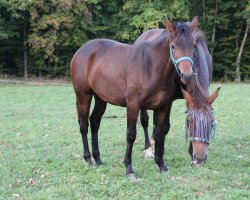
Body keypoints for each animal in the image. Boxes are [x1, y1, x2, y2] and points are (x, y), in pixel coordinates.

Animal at [70, 17, 199, 177]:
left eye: (193, 46)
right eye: (173, 46)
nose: (187, 75)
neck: (150, 66)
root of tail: (81, 50)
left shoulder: (162, 107)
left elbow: (159, 134)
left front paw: (161, 164)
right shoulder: (133, 105)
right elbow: (131, 135)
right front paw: (129, 168)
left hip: (101, 98)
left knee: (94, 122)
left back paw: (98, 158)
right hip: (84, 96)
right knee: (84, 125)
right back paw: (88, 159)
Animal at [135, 24, 221, 164]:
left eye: (211, 121)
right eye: (190, 121)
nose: (200, 158)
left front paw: (191, 153)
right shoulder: (169, 100)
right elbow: (165, 126)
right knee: (145, 121)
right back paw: (148, 149)